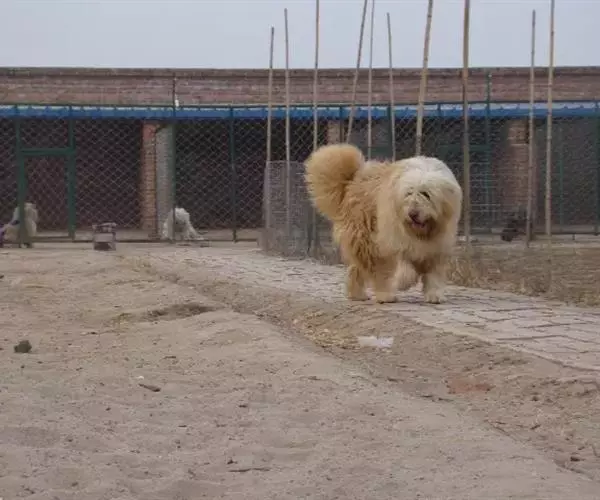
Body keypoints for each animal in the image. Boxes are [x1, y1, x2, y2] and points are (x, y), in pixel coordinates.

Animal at [305, 144, 462, 304]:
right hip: (368, 241)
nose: (412, 214)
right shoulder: (396, 240)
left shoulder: (438, 247)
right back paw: (385, 295)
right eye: (408, 193)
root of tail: (352, 181)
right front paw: (405, 281)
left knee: (356, 269)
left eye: (426, 194)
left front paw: (434, 295)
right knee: (377, 271)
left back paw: (357, 294)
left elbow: (434, 274)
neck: (423, 233)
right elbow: (404, 266)